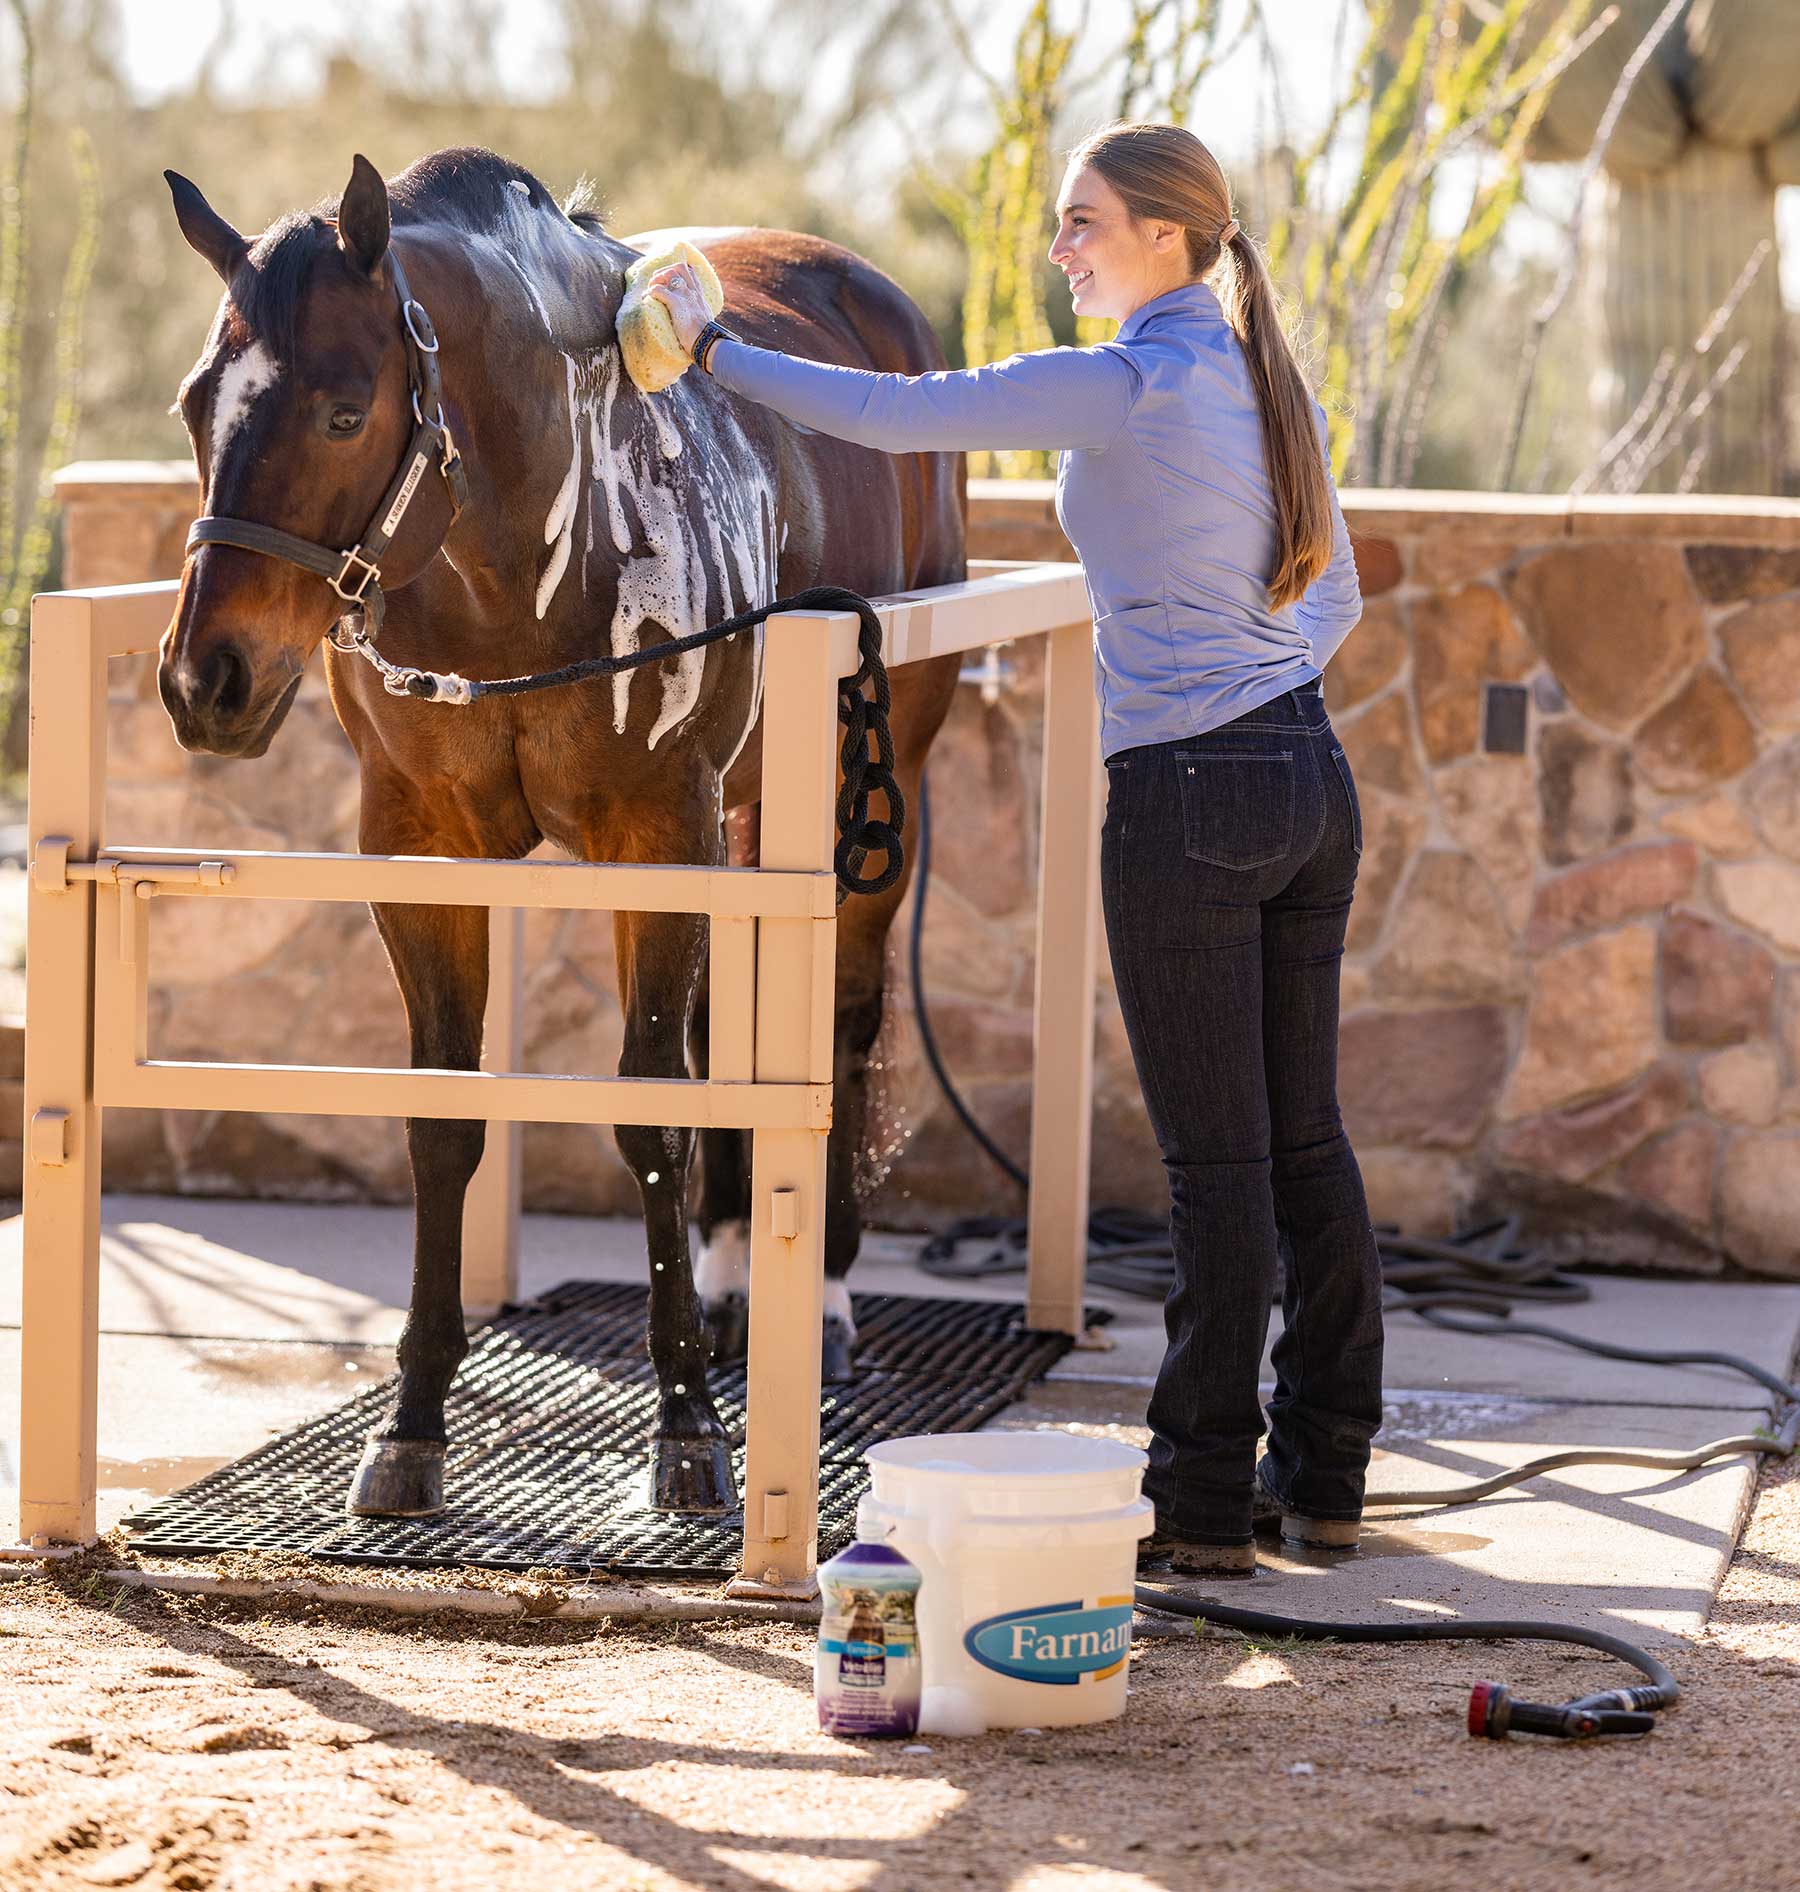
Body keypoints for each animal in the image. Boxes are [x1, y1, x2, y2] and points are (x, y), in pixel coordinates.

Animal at [161, 140, 965, 1513]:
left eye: (342, 410)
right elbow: (447, 1119)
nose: (204, 678)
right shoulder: (424, 847)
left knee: (847, 1021)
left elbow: (651, 1114)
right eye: (191, 405)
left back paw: (826, 1298)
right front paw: (413, 1423)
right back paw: (741, 1273)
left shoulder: (662, 831)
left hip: (867, 791)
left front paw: (687, 1425)